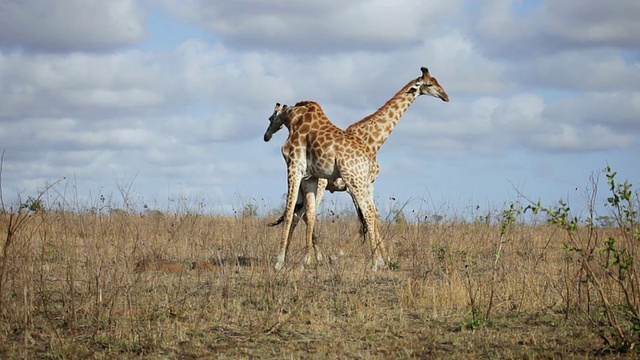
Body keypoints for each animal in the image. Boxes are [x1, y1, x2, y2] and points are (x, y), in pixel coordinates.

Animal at [262, 100, 382, 270]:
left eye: (270, 118)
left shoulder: (294, 167)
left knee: (368, 213)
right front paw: (304, 260)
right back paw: (379, 260)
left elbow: (289, 212)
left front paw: (279, 262)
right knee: (371, 211)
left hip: (353, 180)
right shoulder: (310, 177)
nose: (266, 136)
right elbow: (310, 214)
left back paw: (375, 263)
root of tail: (370, 159)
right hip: (363, 183)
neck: (292, 119)